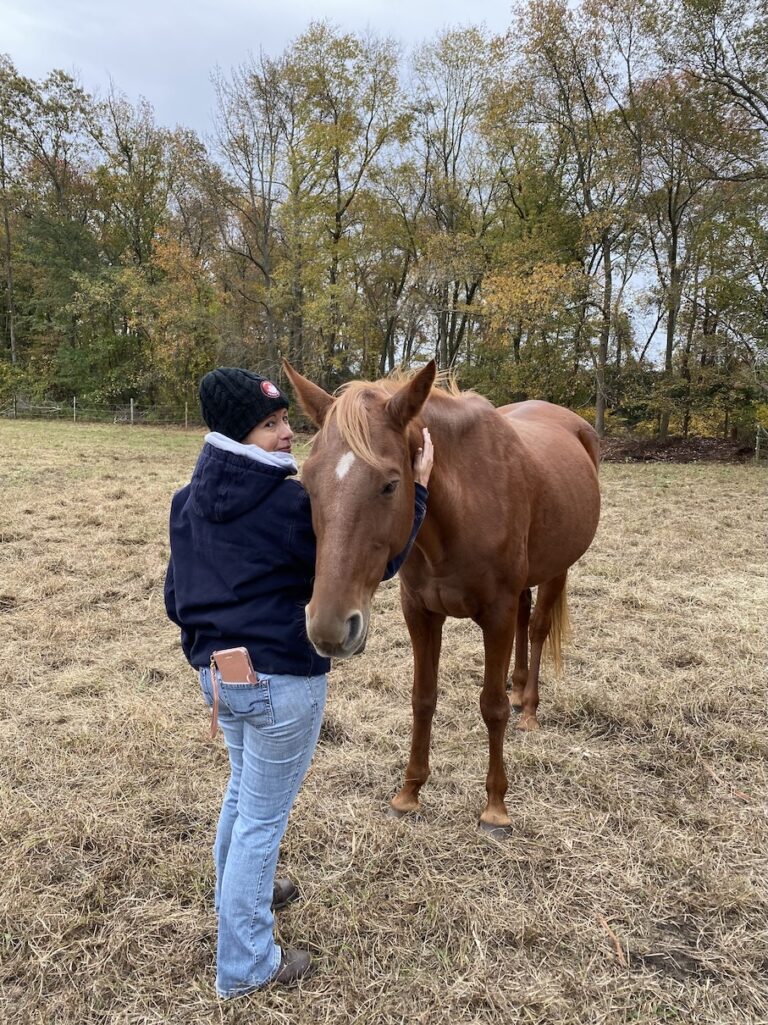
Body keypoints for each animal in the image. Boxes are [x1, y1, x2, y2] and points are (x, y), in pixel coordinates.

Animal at [283, 359, 600, 835]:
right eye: (306, 484)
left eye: (390, 485)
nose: (330, 629)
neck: (461, 508)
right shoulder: (420, 612)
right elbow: (423, 697)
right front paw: (409, 792)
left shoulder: (496, 613)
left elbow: (492, 706)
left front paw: (495, 807)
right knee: (526, 620)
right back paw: (519, 687)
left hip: (557, 569)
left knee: (538, 627)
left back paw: (529, 707)